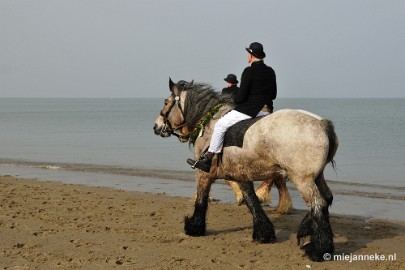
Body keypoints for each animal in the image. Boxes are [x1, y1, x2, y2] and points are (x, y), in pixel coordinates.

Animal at [152, 78, 338, 262]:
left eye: (166, 102)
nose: (156, 127)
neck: (209, 120)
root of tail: (321, 123)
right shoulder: (241, 175)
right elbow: (251, 201)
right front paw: (263, 234)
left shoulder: (203, 174)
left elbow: (201, 199)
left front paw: (193, 227)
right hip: (317, 176)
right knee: (327, 198)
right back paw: (306, 231)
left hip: (302, 179)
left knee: (318, 204)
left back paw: (318, 249)